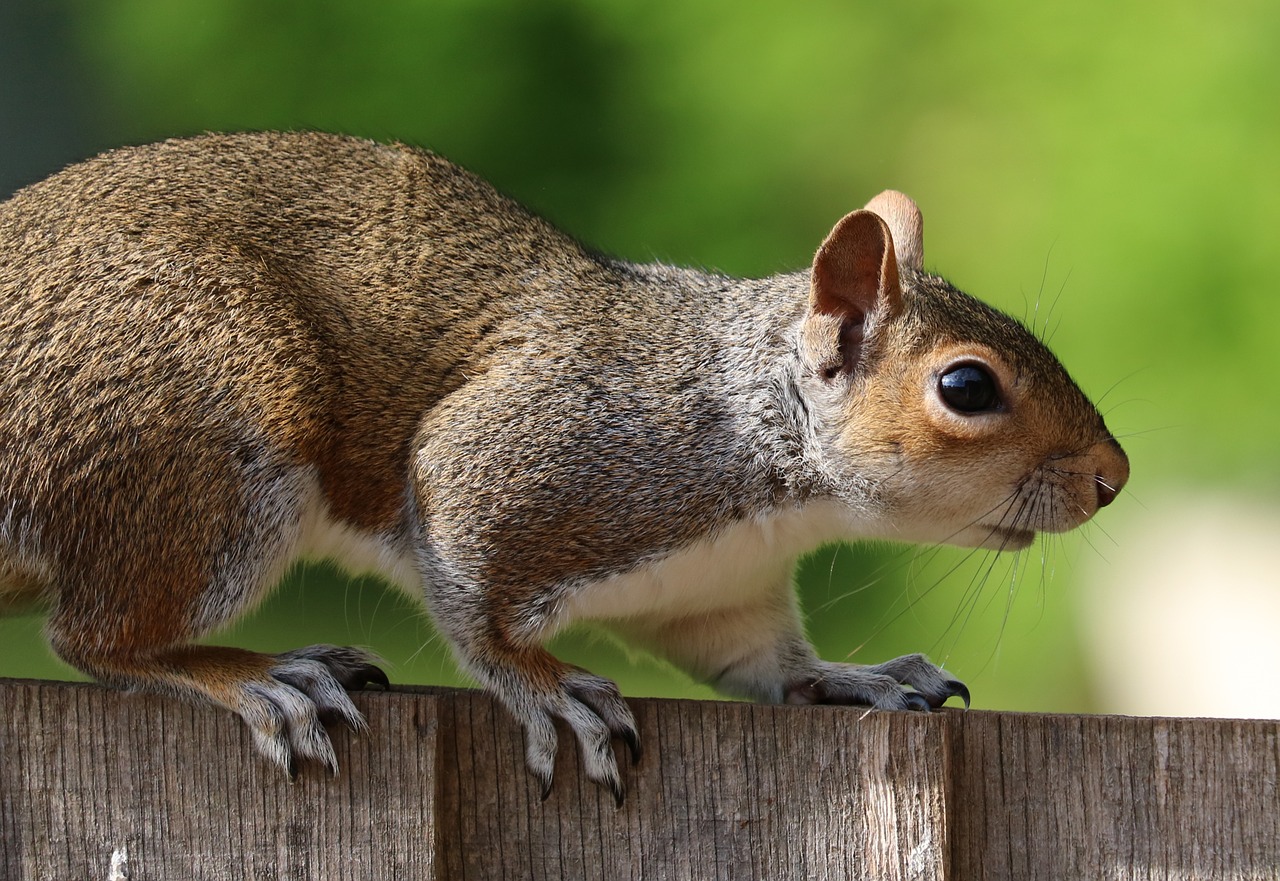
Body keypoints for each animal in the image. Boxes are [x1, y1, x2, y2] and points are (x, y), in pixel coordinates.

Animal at [0, 132, 1126, 804]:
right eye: (967, 386)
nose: (1112, 475)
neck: (760, 443)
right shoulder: (528, 454)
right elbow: (477, 600)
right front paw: (545, 688)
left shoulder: (715, 592)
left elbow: (767, 665)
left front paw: (859, 676)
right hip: (207, 426)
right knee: (97, 636)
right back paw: (256, 675)